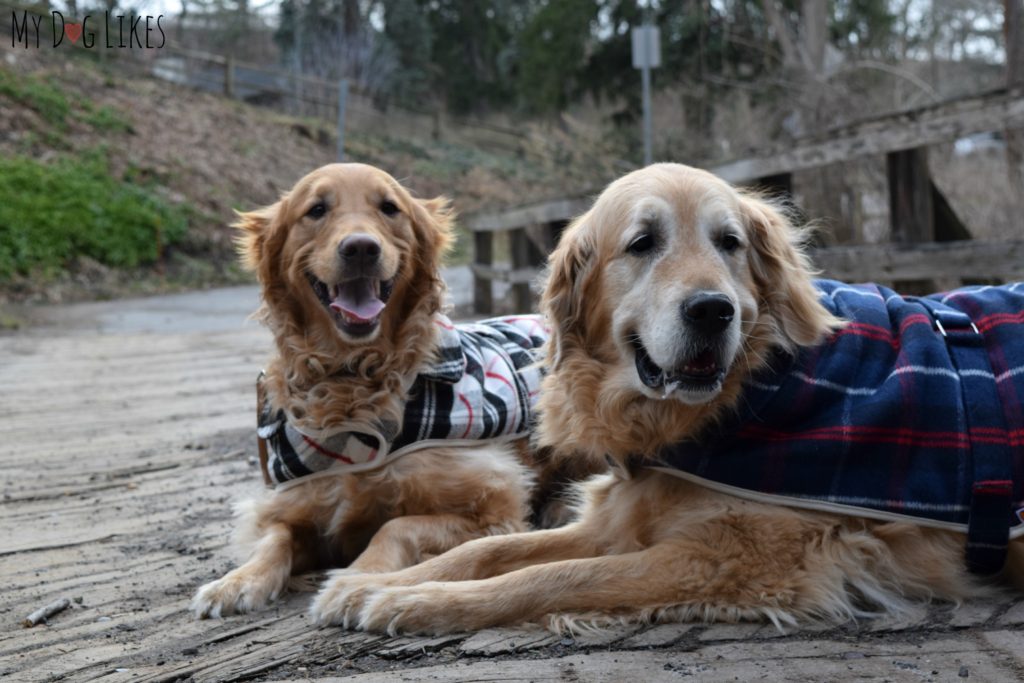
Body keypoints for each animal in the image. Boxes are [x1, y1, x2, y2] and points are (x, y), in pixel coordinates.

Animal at [192, 163, 593, 618]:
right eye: (316, 210)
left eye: (389, 208)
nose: (361, 249)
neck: (351, 379)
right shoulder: (296, 502)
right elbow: (275, 536)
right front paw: (238, 581)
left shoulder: (496, 501)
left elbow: (395, 525)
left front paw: (359, 577)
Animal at [309, 162, 1024, 634]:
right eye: (642, 243)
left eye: (730, 243)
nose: (712, 311)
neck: (739, 398)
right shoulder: (616, 516)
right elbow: (485, 550)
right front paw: (370, 582)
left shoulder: (728, 555)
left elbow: (547, 577)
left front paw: (417, 603)